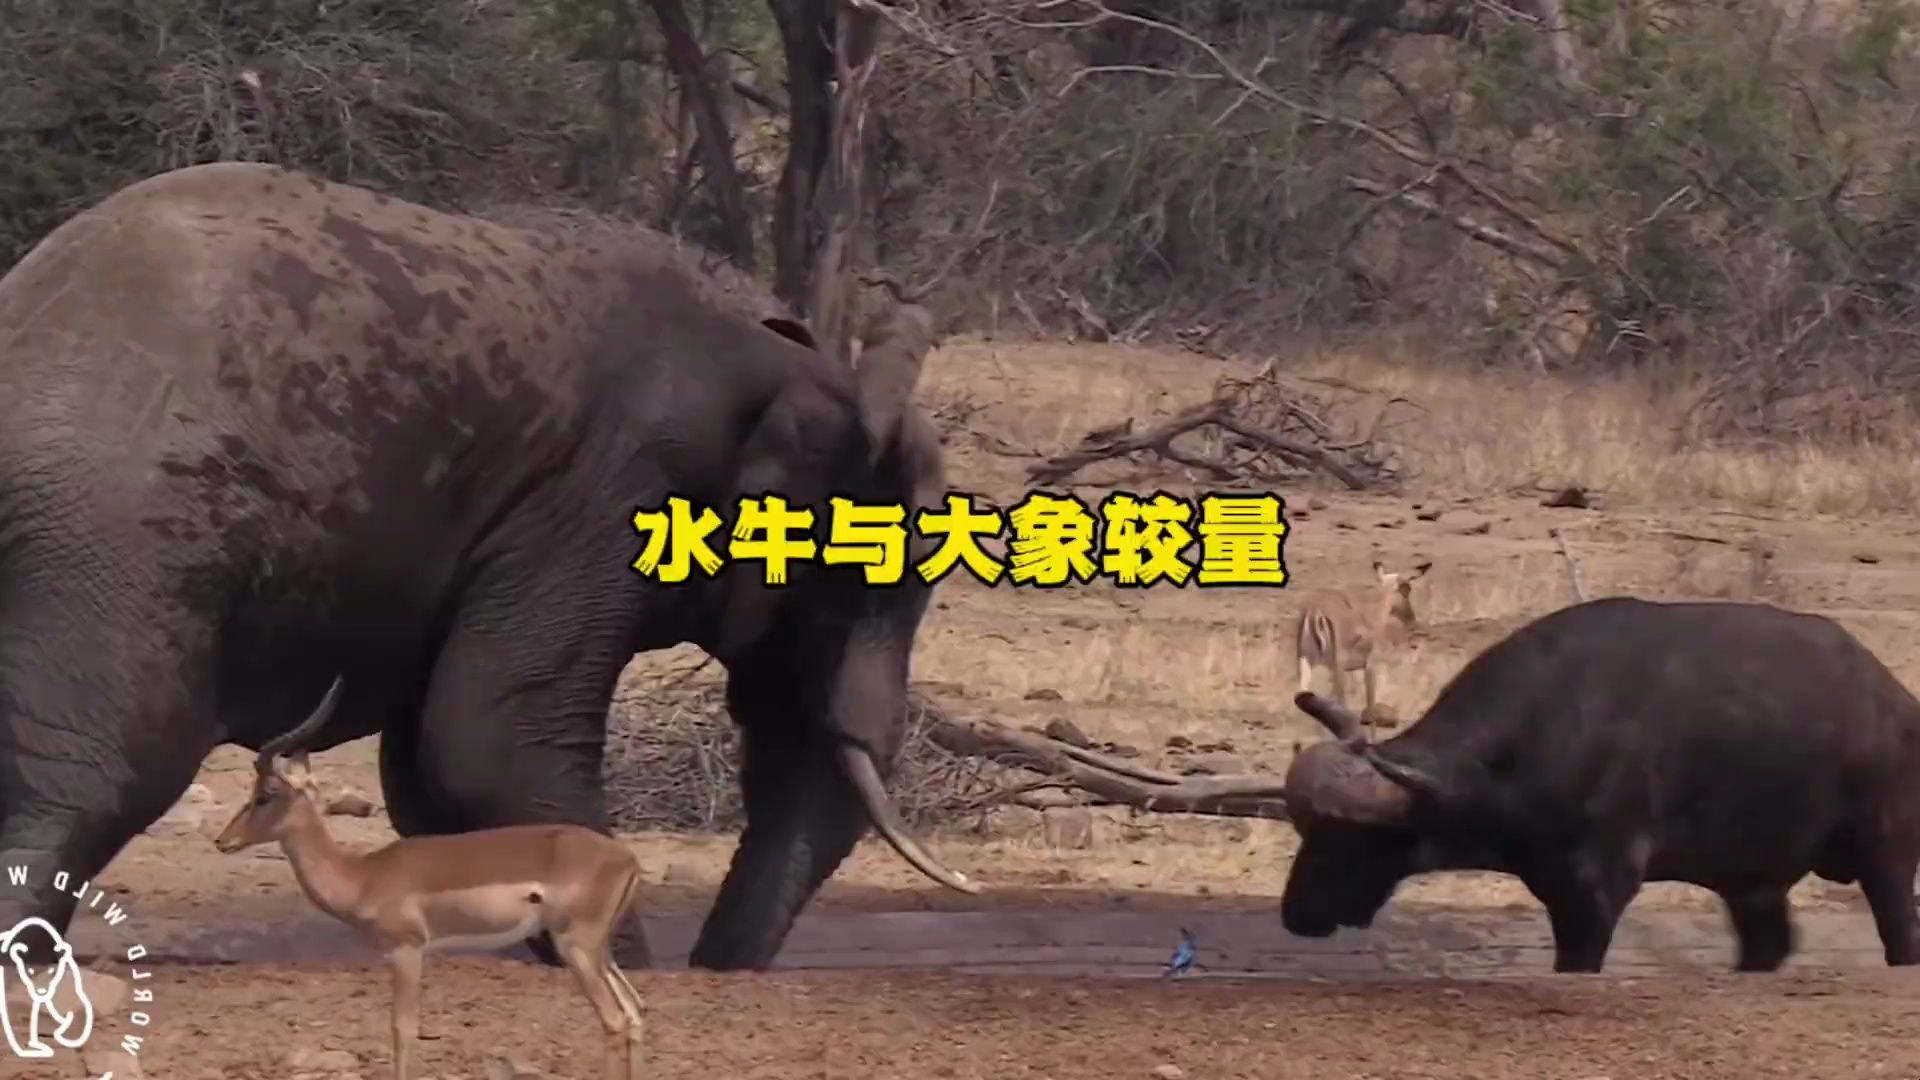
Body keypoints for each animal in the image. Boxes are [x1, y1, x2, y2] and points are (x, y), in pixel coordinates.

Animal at [0, 161, 976, 972]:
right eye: (865, 586)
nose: (712, 973)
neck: (778, 358)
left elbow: (432, 778)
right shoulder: (596, 496)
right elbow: (488, 737)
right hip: (123, 539)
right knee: (101, 771)